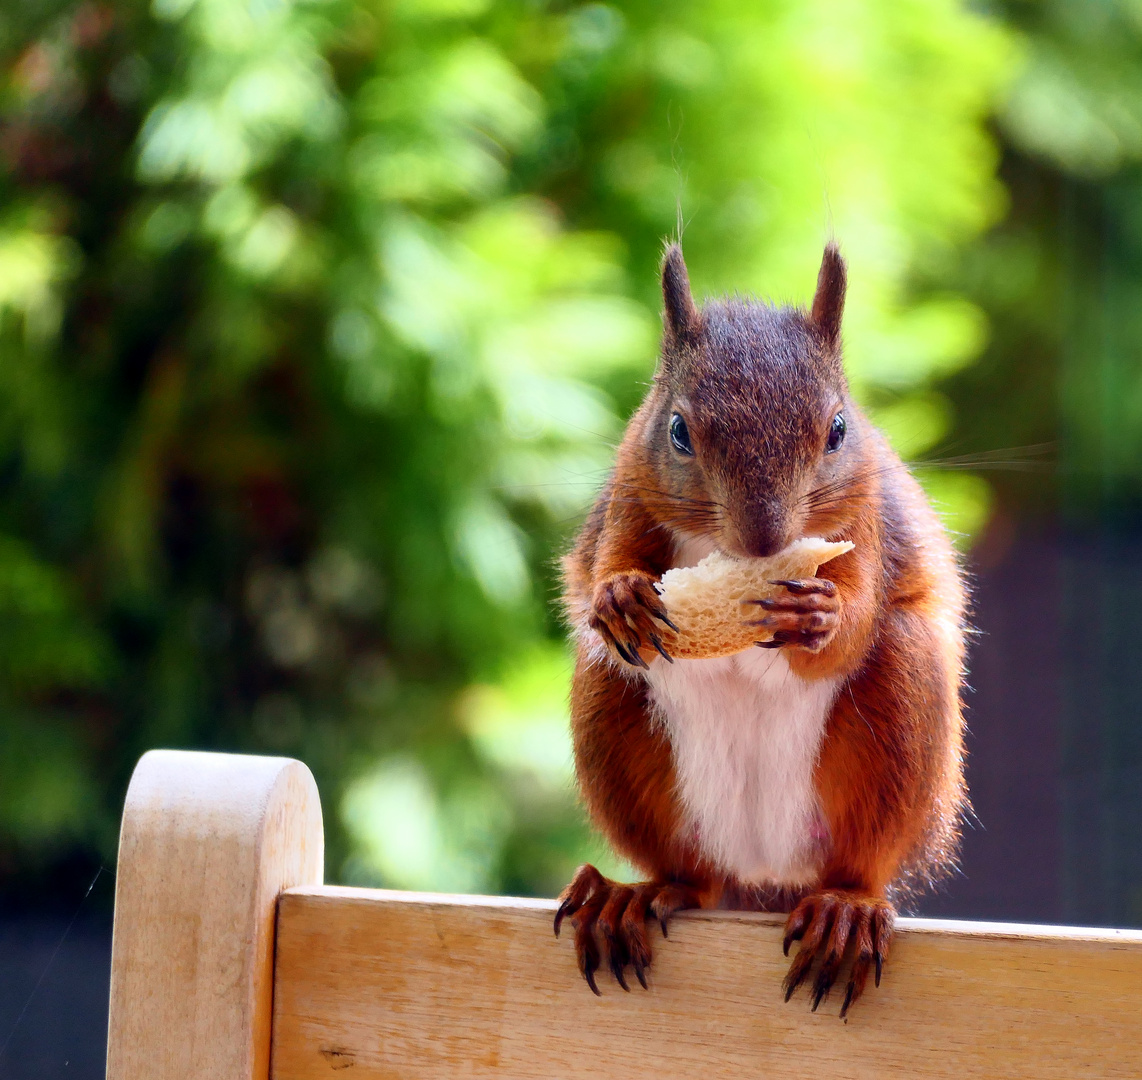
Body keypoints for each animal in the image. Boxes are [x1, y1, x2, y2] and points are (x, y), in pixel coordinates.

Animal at [557, 239, 968, 1013]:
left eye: (838, 429)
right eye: (677, 430)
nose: (765, 537)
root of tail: (763, 875)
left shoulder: (867, 524)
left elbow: (855, 623)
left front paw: (820, 616)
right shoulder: (630, 491)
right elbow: (607, 562)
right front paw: (619, 594)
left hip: (901, 715)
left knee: (859, 861)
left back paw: (846, 910)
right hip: (612, 716)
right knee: (689, 878)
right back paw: (633, 897)